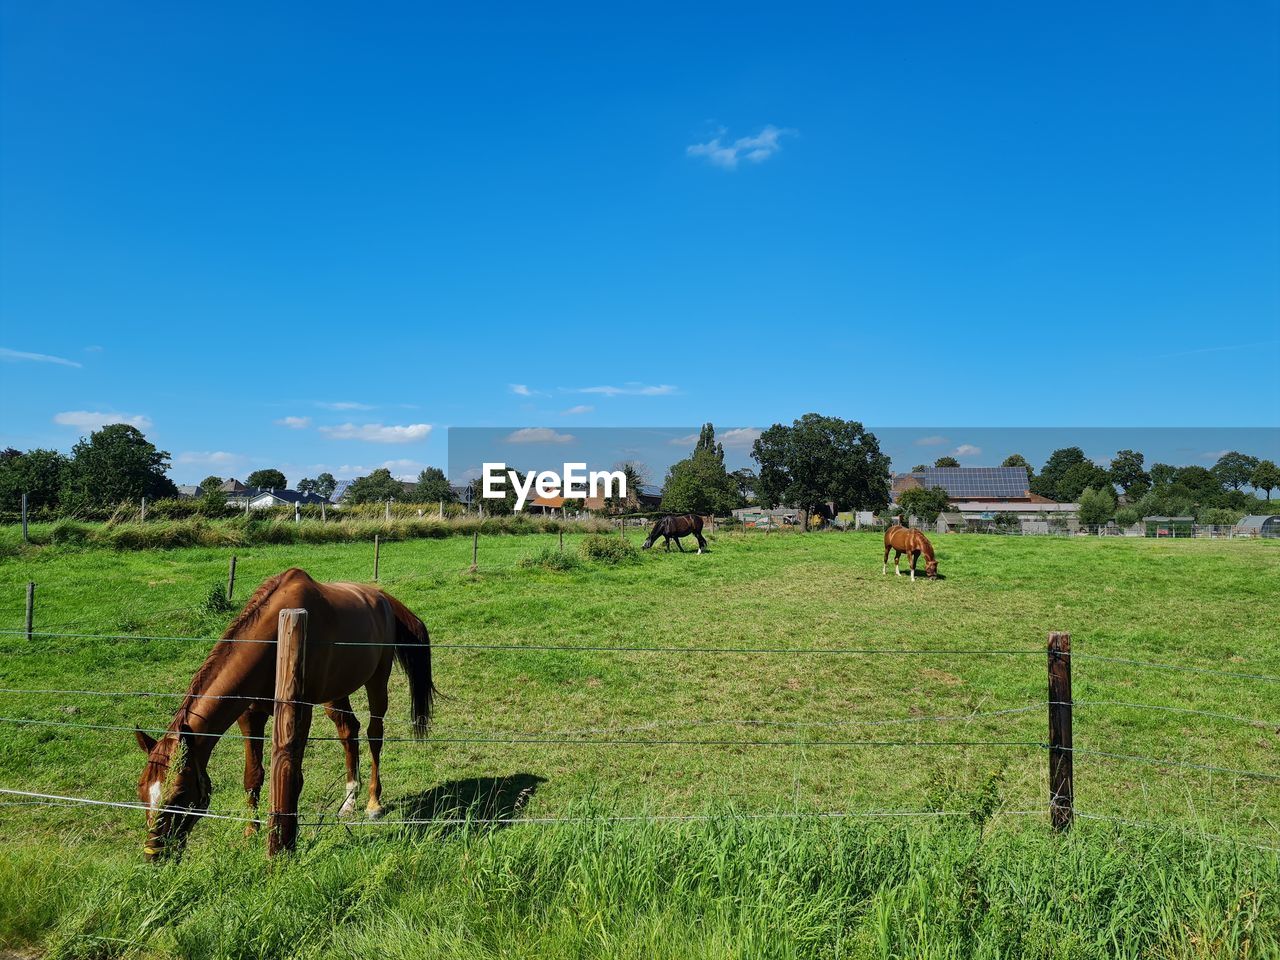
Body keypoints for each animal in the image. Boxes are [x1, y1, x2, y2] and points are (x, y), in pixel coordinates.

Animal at [133, 570, 435, 865]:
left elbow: (294, 779)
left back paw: (373, 802)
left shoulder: (301, 713)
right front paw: (250, 833)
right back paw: (349, 801)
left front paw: (285, 839)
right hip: (335, 693)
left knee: (375, 734)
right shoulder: (250, 715)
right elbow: (252, 776)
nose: (153, 855)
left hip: (377, 680)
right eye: (141, 792)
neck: (274, 640)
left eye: (179, 794)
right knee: (349, 731)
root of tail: (382, 597)